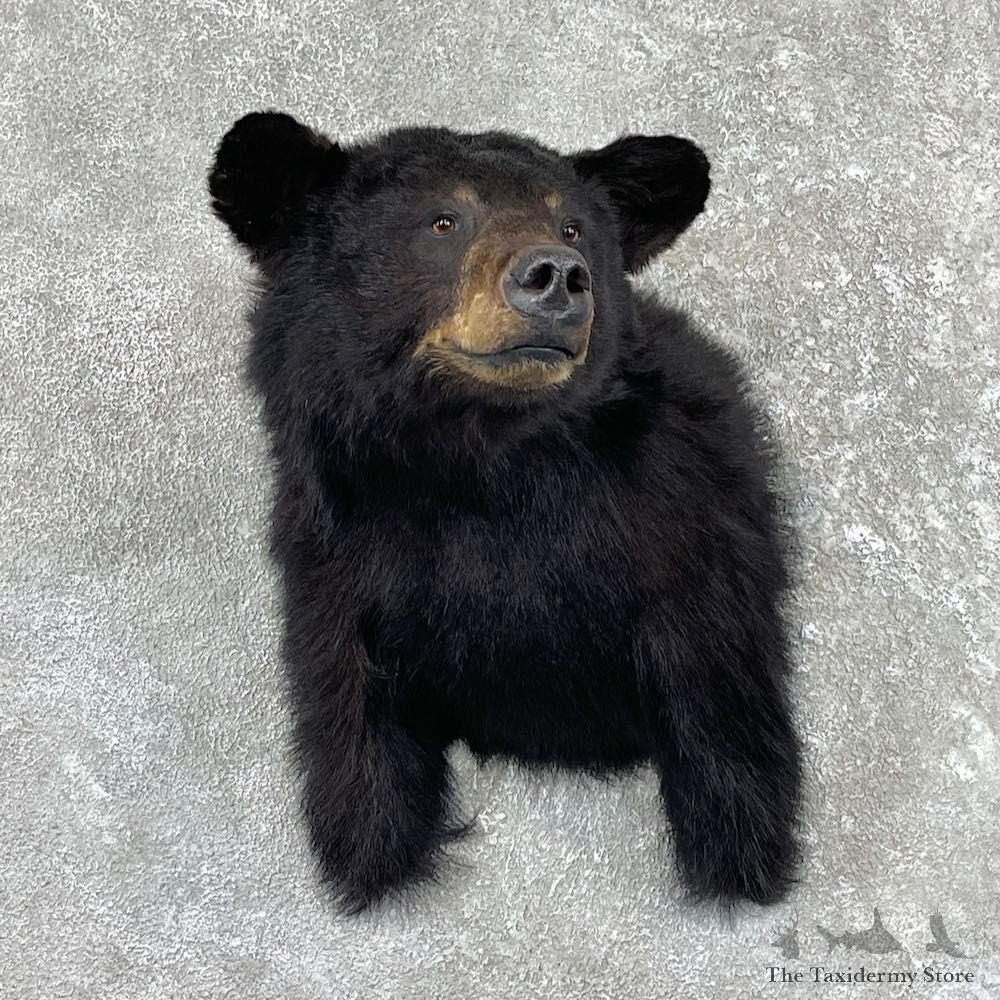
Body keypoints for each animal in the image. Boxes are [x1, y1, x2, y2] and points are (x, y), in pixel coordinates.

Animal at [208, 111, 802, 914]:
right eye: (443, 221)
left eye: (574, 226)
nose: (559, 275)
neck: (485, 462)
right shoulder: (333, 554)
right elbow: (352, 710)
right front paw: (368, 860)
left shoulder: (684, 519)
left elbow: (721, 695)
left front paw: (740, 863)